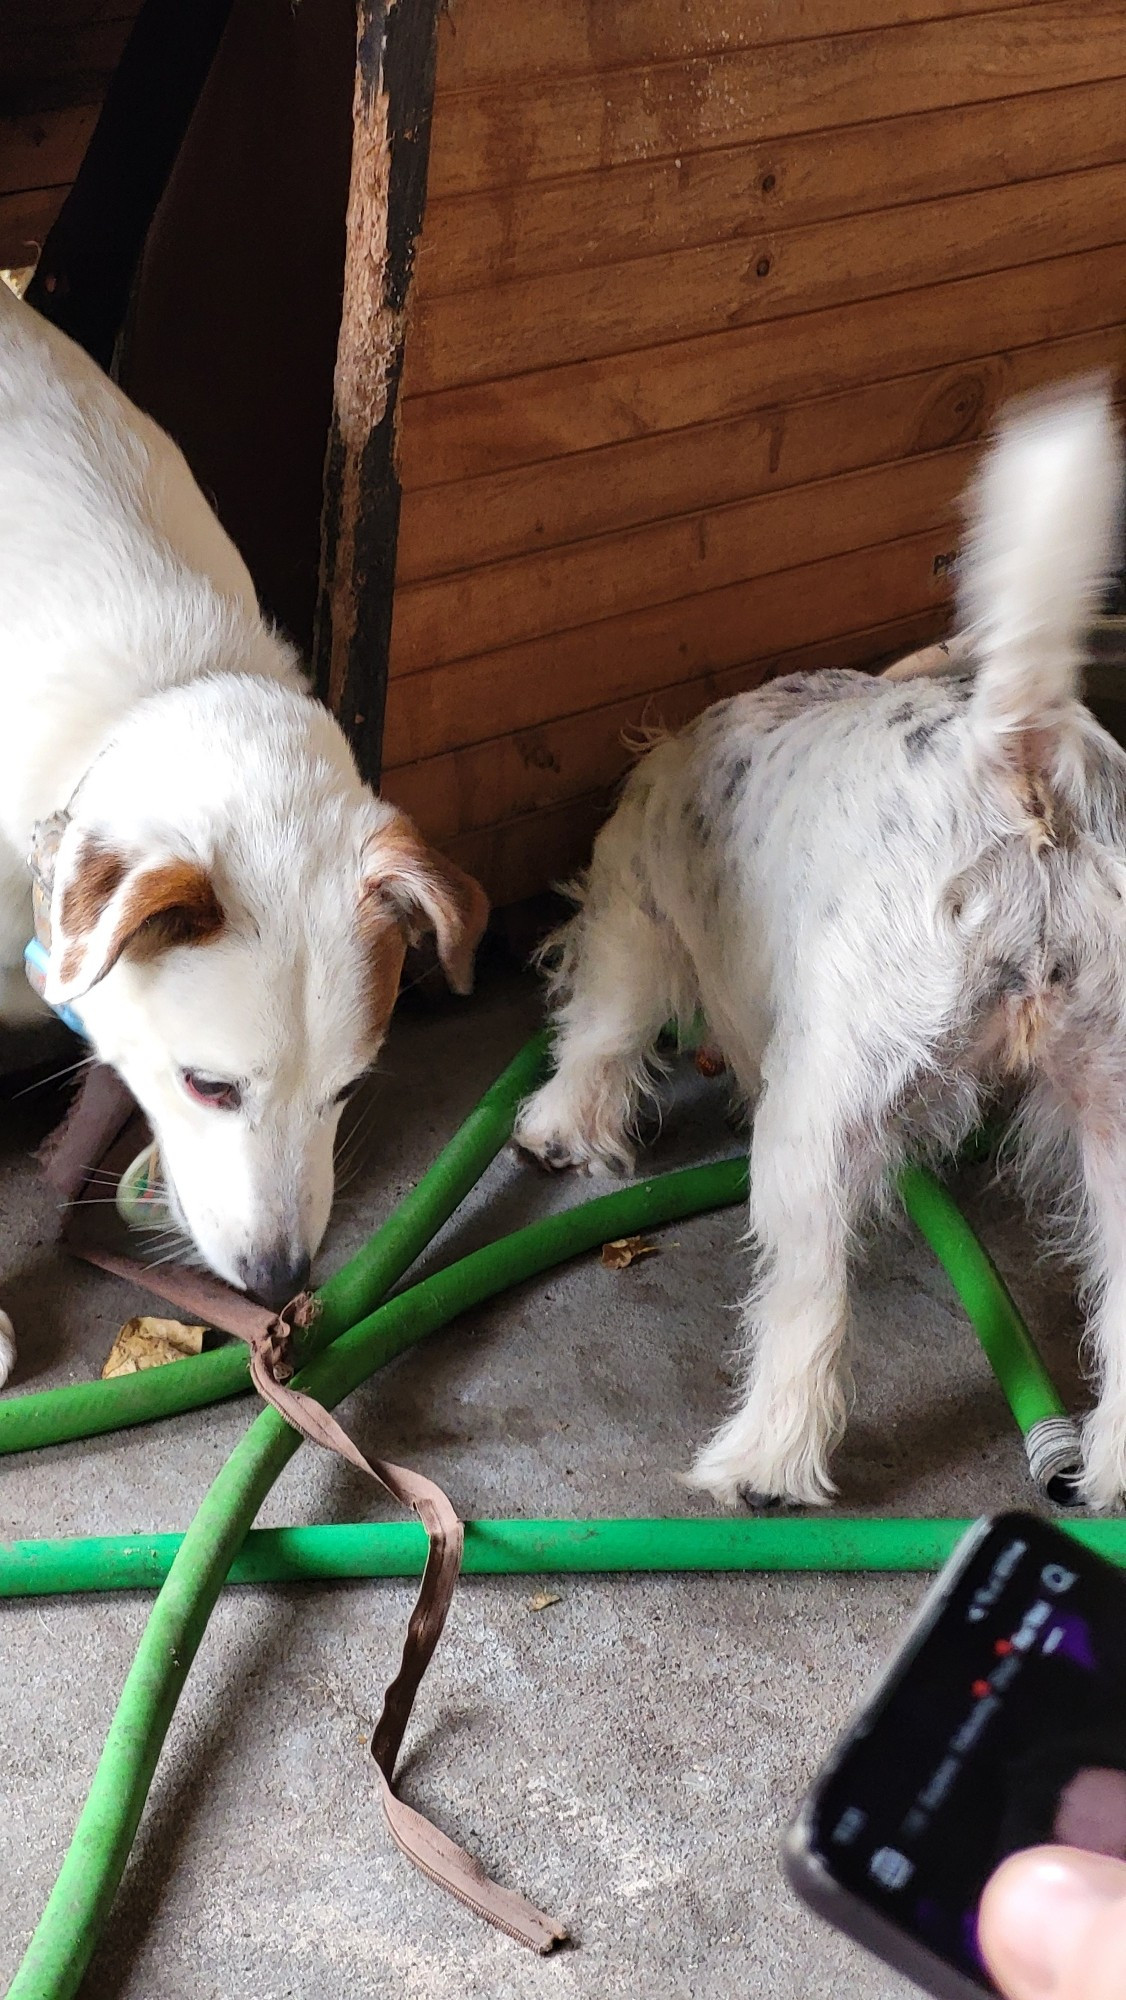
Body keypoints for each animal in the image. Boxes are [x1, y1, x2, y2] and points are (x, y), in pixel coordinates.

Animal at [516, 382, 1126, 1504]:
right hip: (1109, 1103)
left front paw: (557, 1129)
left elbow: (599, 1029)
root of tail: (1012, 758)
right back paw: (1109, 1465)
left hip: (821, 1113)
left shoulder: (635, 917)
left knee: (806, 1299)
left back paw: (759, 1461)